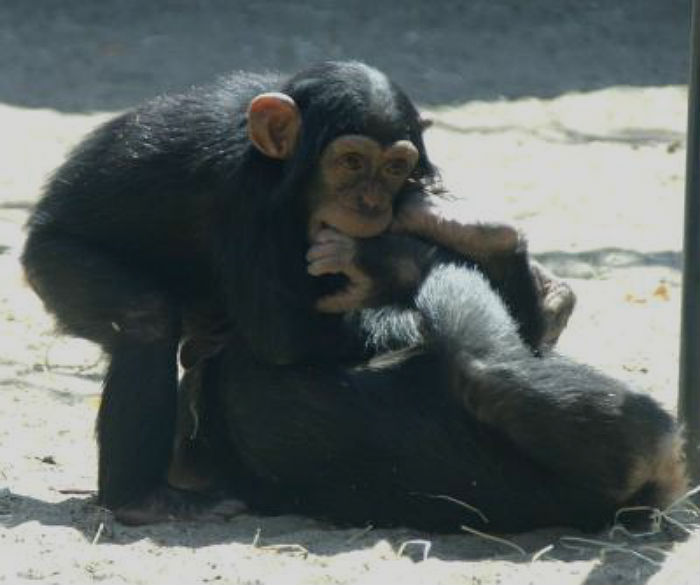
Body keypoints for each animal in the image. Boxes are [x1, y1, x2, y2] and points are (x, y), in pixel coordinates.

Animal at [21, 61, 576, 524]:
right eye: (350, 162)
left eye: (395, 167)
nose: (371, 201)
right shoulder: (242, 195)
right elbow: (282, 337)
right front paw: (390, 262)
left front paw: (461, 234)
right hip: (55, 261)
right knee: (145, 318)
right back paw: (142, 498)